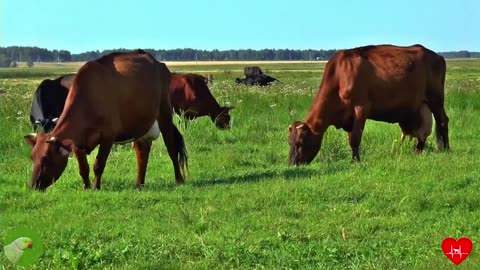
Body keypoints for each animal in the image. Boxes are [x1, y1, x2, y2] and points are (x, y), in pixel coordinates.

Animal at [23, 50, 188, 190]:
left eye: (46, 159)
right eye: (32, 157)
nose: (32, 186)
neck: (88, 99)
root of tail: (157, 62)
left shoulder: (108, 136)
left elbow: (98, 164)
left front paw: (96, 187)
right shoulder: (77, 142)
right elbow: (83, 168)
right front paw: (86, 187)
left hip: (164, 112)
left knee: (171, 147)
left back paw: (179, 180)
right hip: (141, 123)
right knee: (142, 151)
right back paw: (139, 184)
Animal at [288, 44, 450, 165]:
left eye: (300, 142)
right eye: (290, 142)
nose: (292, 164)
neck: (340, 76)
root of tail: (437, 56)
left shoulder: (361, 108)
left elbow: (355, 138)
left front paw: (356, 162)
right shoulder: (349, 116)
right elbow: (351, 137)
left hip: (436, 99)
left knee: (443, 121)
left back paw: (448, 149)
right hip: (420, 106)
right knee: (423, 131)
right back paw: (417, 152)